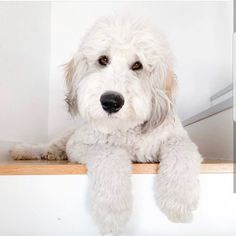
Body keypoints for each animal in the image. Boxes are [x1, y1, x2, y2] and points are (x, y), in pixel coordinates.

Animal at [10, 16, 203, 234]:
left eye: (138, 65)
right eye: (103, 60)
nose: (111, 101)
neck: (125, 129)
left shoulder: (175, 137)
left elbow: (181, 151)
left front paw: (179, 202)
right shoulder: (80, 145)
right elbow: (110, 153)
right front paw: (113, 212)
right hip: (67, 138)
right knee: (48, 146)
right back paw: (25, 150)